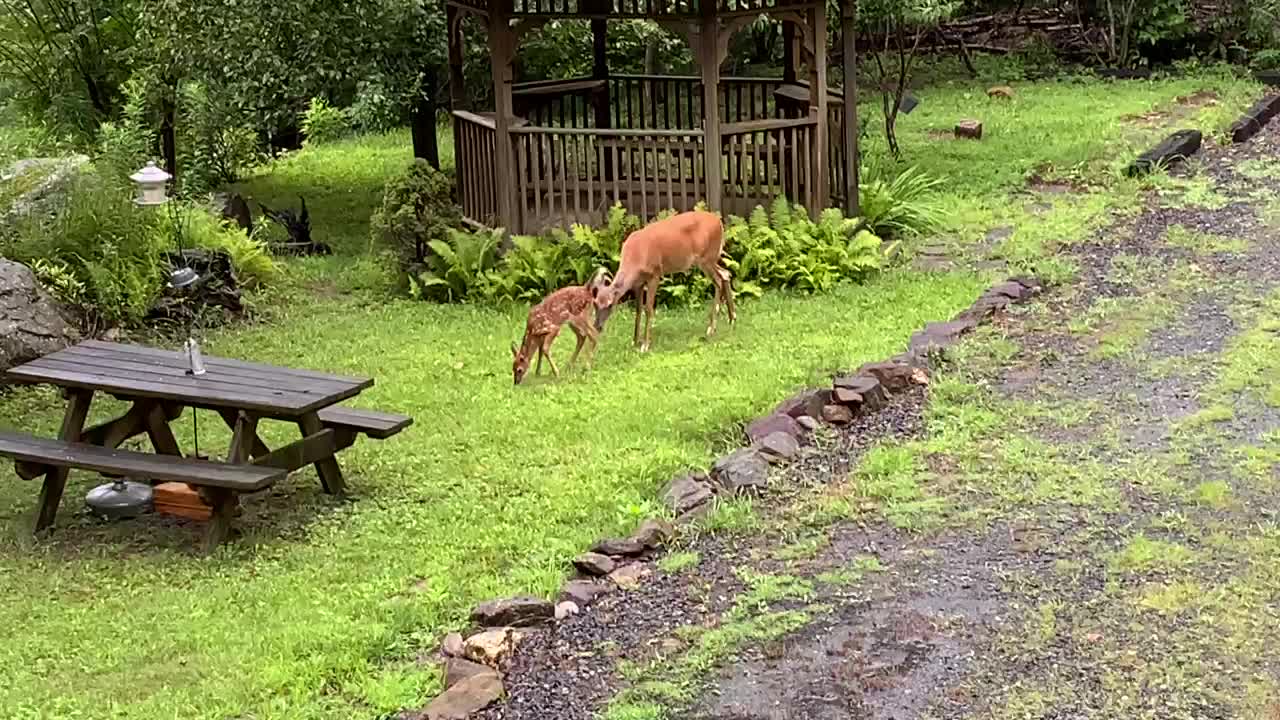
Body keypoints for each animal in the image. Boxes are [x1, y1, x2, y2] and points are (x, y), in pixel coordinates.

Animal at [593, 207, 737, 351]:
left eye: (610, 304)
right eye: (595, 304)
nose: (596, 326)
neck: (635, 257)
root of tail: (719, 222)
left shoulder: (655, 274)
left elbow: (648, 309)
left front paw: (645, 345)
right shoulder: (638, 283)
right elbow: (638, 310)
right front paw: (634, 341)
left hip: (707, 257)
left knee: (719, 280)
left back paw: (711, 329)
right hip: (709, 260)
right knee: (726, 274)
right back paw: (732, 319)